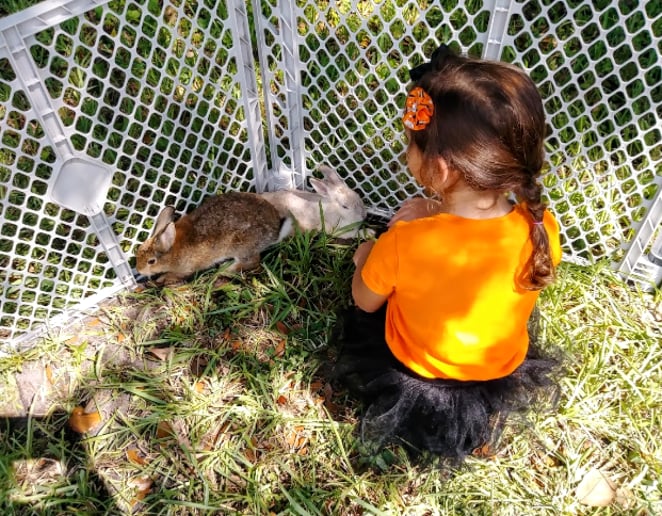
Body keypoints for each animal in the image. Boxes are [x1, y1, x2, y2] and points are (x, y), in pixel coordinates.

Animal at [135, 191, 293, 285]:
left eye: (151, 261)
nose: (139, 270)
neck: (172, 249)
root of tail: (275, 230)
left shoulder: (185, 269)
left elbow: (174, 275)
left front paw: (161, 279)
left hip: (241, 246)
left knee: (252, 262)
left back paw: (224, 269)